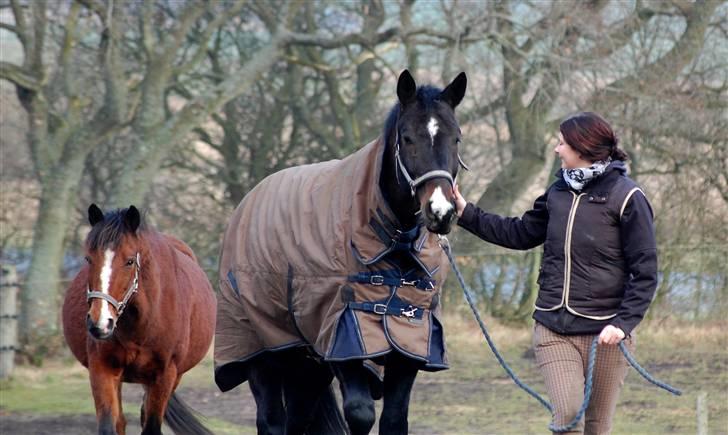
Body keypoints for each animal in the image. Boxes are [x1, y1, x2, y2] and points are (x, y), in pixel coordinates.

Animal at [61, 205, 216, 435]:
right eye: (89, 259)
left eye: (130, 261)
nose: (100, 323)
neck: (143, 325)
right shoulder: (102, 369)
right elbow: (109, 425)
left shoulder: (164, 376)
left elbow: (150, 426)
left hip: (174, 377)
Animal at [215, 70, 466, 434]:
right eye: (407, 138)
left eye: (456, 138)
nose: (440, 211)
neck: (393, 242)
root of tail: (248, 201)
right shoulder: (344, 335)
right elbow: (360, 414)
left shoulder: (410, 344)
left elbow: (394, 420)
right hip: (262, 351)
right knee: (272, 421)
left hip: (307, 364)